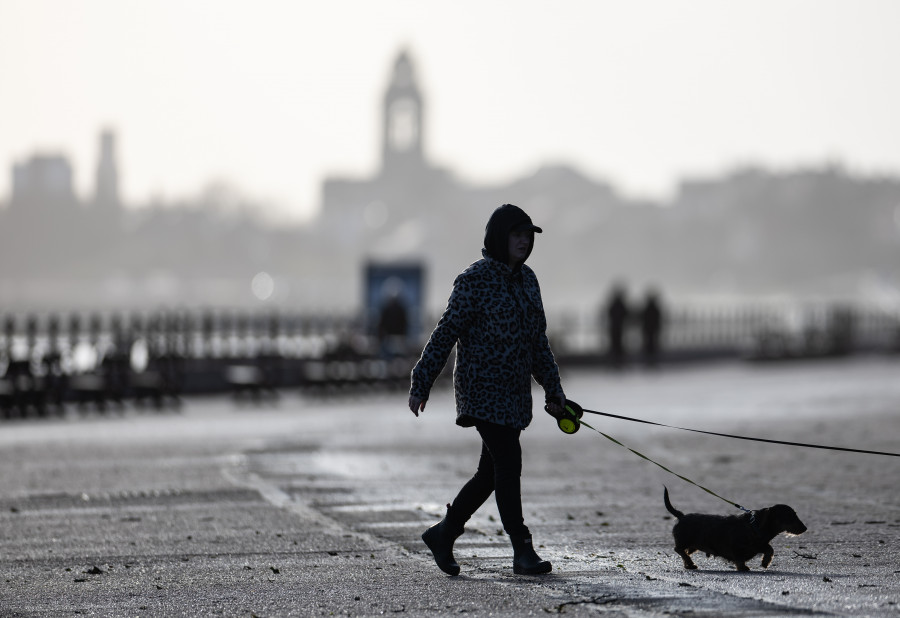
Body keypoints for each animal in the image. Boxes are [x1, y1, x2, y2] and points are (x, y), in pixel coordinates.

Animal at [660, 486, 808, 568]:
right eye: (789, 516)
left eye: (795, 514)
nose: (805, 528)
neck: (754, 526)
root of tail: (681, 516)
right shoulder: (738, 548)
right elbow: (740, 559)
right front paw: (743, 567)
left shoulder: (761, 544)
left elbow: (770, 549)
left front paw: (765, 562)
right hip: (685, 541)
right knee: (678, 549)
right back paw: (690, 563)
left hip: (692, 546)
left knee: (684, 552)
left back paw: (689, 564)